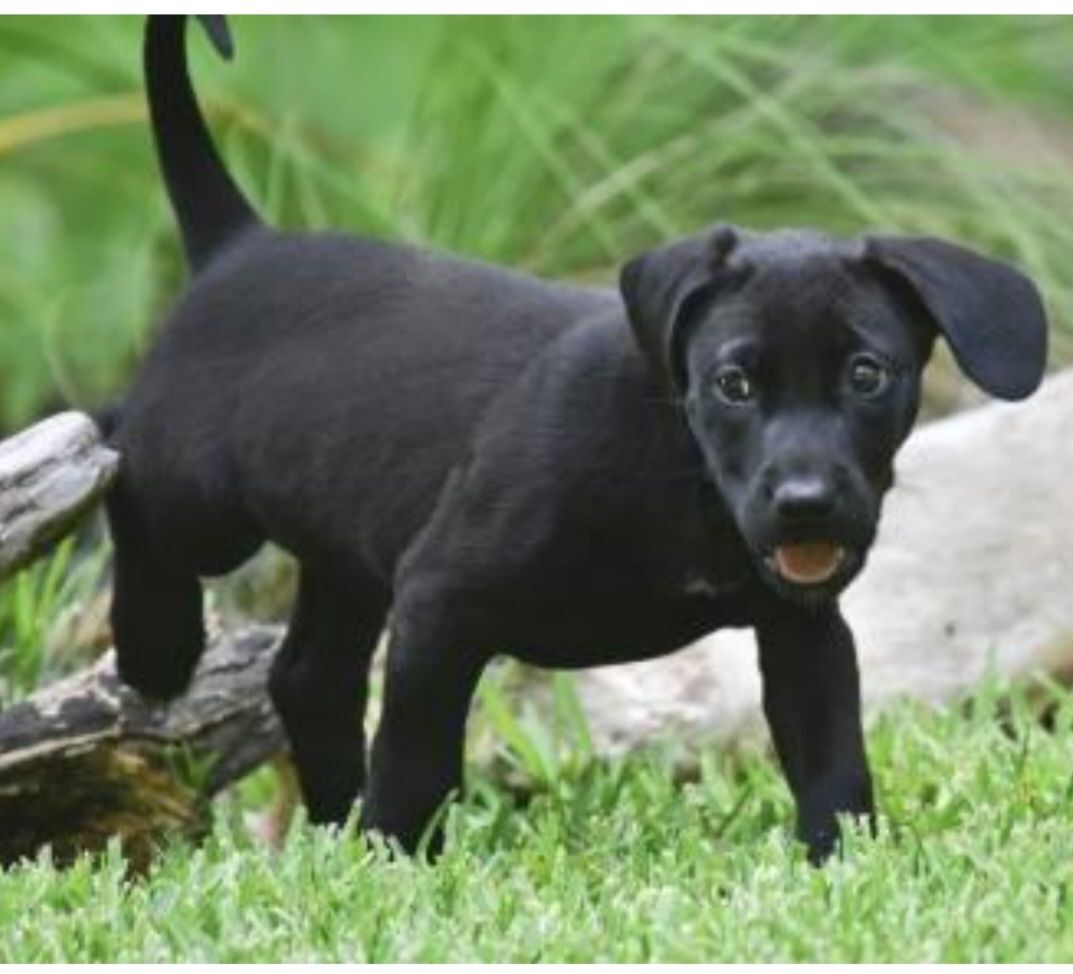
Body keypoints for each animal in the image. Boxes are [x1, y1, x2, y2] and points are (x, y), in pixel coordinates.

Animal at [106, 15, 1047, 862]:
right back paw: (157, 646)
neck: (680, 470)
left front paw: (839, 865)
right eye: (733, 384)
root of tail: (239, 245)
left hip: (344, 545)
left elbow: (831, 759)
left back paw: (330, 821)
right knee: (116, 448)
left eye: (866, 374)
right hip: (205, 501)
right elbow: (415, 757)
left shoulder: (803, 631)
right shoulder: (440, 597)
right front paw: (393, 863)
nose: (806, 504)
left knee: (309, 681)